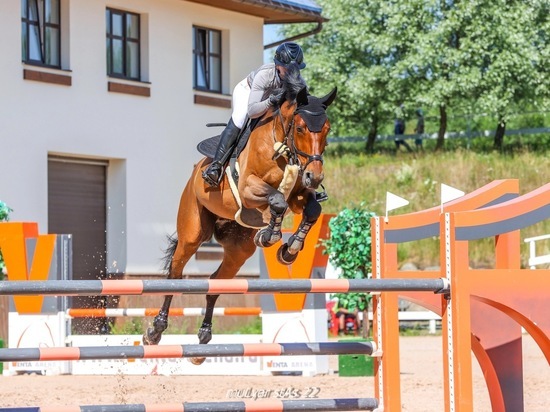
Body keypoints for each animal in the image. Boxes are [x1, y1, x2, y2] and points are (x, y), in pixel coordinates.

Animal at [142, 63, 338, 364]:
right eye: (301, 128)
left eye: (326, 129)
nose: (314, 177)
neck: (281, 145)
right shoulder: (249, 188)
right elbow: (277, 201)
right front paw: (271, 236)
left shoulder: (299, 195)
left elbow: (311, 209)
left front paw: (290, 249)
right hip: (193, 232)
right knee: (175, 274)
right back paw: (155, 331)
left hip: (238, 249)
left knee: (215, 283)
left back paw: (203, 340)